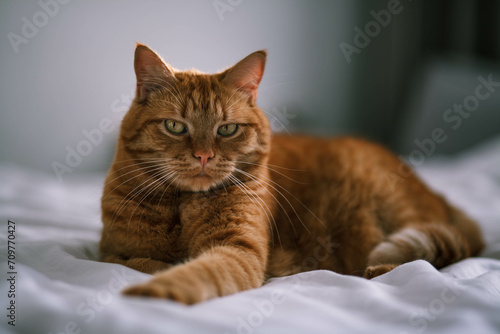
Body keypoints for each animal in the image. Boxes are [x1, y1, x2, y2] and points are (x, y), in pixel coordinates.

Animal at [98, 44, 484, 306]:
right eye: (176, 127)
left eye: (227, 129)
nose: (204, 156)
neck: (182, 207)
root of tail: (441, 197)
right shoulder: (110, 249)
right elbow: (131, 260)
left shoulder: (238, 250)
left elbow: (194, 271)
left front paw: (155, 290)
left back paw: (380, 270)